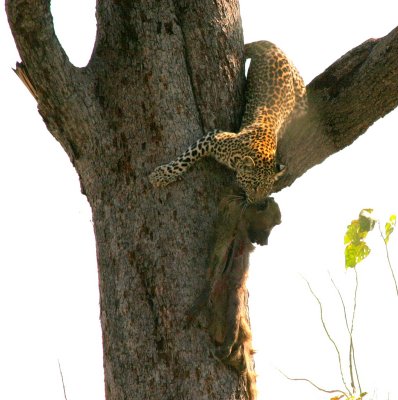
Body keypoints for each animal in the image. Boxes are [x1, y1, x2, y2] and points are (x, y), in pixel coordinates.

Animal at [149, 40, 308, 203]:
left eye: (268, 190)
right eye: (254, 186)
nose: (257, 204)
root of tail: (274, 46)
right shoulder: (214, 137)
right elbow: (187, 157)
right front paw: (161, 176)